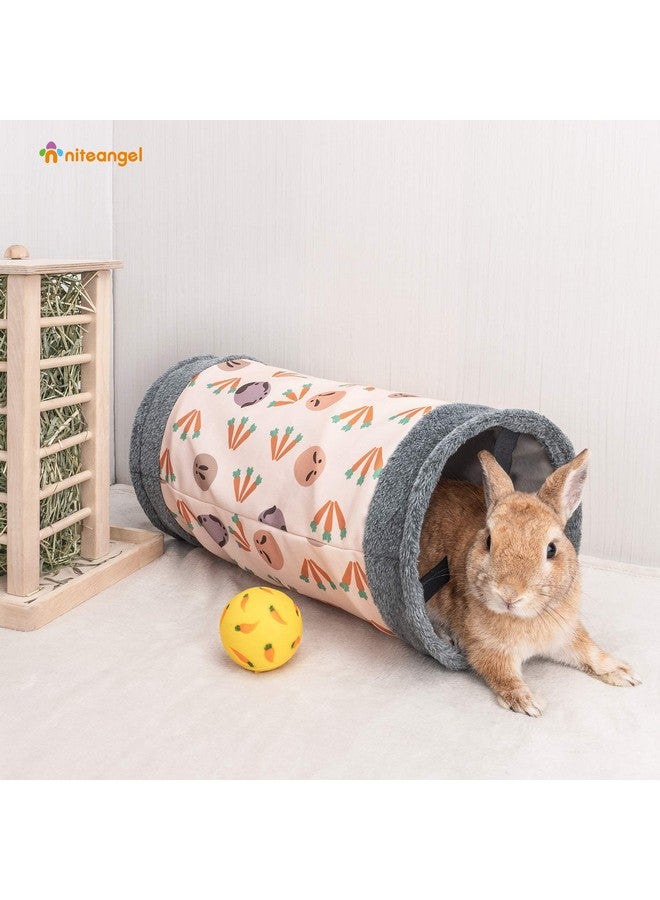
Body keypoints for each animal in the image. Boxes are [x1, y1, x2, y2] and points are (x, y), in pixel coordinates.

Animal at [418, 449, 641, 716]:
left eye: (551, 549)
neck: (526, 616)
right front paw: (528, 703)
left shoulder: (565, 633)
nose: (509, 594)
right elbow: (503, 675)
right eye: (489, 541)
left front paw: (624, 673)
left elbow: (589, 651)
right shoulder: (489, 650)